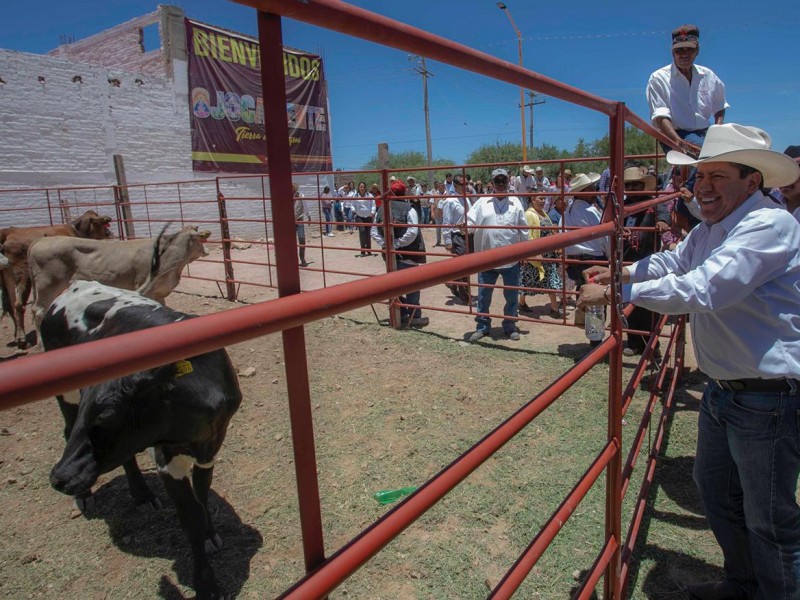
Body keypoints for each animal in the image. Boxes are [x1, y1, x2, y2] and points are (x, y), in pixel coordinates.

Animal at [0, 210, 112, 346]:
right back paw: (23, 338)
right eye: (101, 223)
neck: (76, 230)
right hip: (23, 276)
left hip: (7, 277)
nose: (110, 233)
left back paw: (18, 337)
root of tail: (8, 231)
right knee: (19, 305)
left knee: (11, 305)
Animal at [29, 225, 211, 330]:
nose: (207, 251)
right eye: (201, 239)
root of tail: (39, 241)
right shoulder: (145, 288)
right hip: (47, 284)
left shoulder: (159, 291)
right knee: (38, 311)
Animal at [41, 282, 241, 600]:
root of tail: (75, 286)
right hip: (66, 395)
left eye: (107, 417)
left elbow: (202, 493)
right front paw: (207, 584)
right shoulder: (167, 456)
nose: (58, 478)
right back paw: (84, 494)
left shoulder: (212, 443)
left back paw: (142, 495)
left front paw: (211, 534)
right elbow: (190, 519)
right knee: (67, 429)